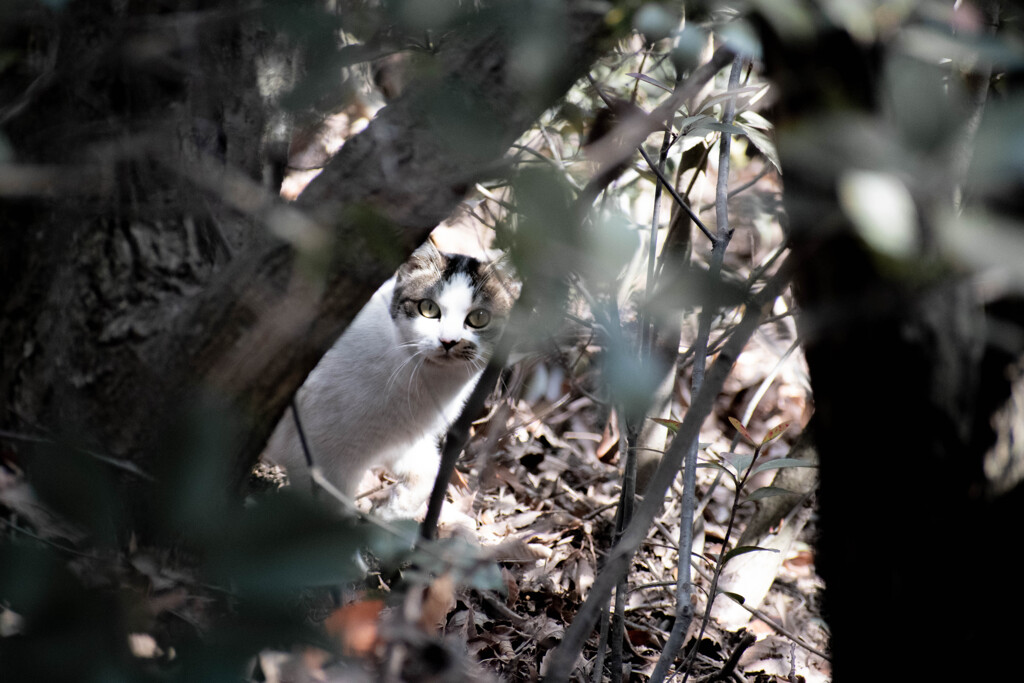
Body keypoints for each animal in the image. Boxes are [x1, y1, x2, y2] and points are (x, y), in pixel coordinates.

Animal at [260, 242, 516, 516]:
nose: (448, 341)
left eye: (479, 318)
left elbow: (428, 470)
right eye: (429, 309)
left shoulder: (403, 441)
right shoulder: (320, 456)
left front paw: (394, 511)